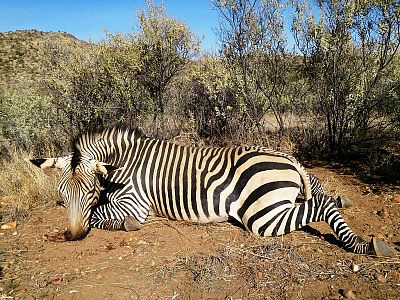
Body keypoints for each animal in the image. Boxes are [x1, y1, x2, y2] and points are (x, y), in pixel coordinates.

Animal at [30, 127, 394, 256]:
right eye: (63, 195)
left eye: (89, 190)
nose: (74, 236)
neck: (123, 163)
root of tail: (286, 158)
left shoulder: (134, 204)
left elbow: (101, 215)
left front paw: (117, 225)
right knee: (318, 192)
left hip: (262, 216)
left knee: (320, 204)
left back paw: (366, 245)